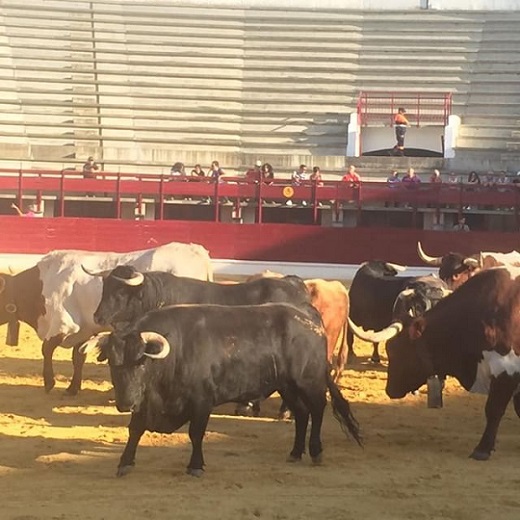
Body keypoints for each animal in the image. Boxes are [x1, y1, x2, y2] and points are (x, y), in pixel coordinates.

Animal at [0, 241, 213, 394]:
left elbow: (47, 349)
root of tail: (197, 252)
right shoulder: (85, 329)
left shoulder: (63, 325)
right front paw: (73, 388)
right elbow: (78, 356)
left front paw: (49, 382)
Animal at [81, 302, 364, 478]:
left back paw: (315, 452)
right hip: (286, 386)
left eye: (141, 362)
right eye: (112, 364)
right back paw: (295, 453)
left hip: (308, 381)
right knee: (302, 413)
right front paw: (125, 463)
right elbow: (135, 430)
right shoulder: (145, 402)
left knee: (317, 410)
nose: (124, 403)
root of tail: (307, 316)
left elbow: (196, 434)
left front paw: (196, 466)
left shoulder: (201, 401)